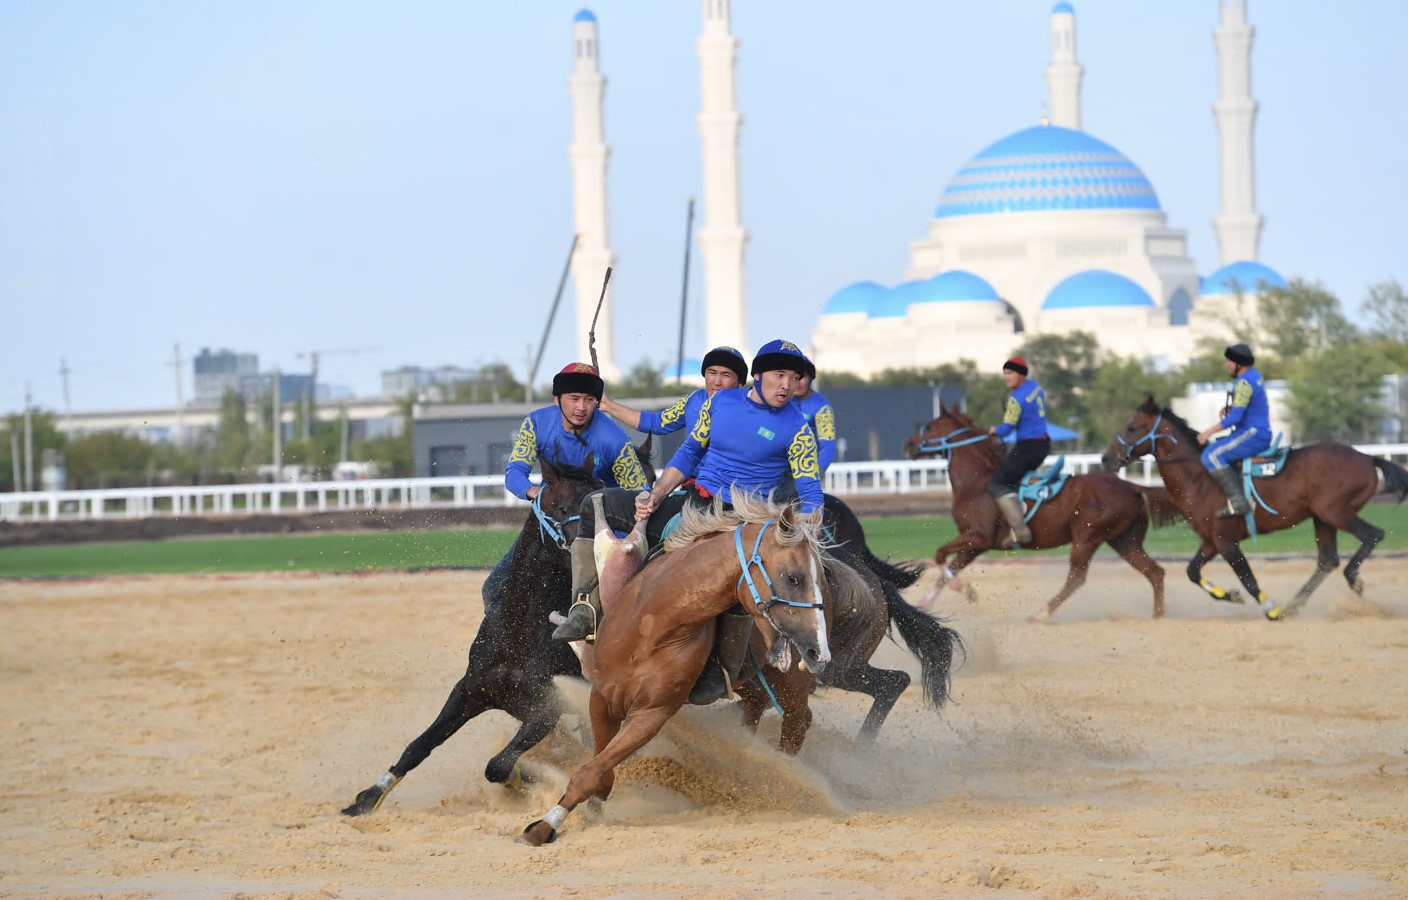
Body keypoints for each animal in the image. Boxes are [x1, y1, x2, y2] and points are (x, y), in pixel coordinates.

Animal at [520, 492, 833, 845]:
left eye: (810, 578)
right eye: (793, 577)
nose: (820, 652)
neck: (655, 624)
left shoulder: (652, 713)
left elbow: (591, 771)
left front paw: (544, 826)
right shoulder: (601, 698)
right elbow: (601, 764)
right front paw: (589, 810)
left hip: (792, 687)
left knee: (796, 724)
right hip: (752, 681)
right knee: (758, 707)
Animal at [901, 405, 1188, 622]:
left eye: (929, 427)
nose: (908, 445)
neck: (976, 482)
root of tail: (1132, 486)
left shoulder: (978, 537)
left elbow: (940, 556)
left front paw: (965, 591)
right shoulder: (974, 545)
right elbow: (947, 568)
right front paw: (927, 603)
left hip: (1087, 538)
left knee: (1076, 578)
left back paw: (1041, 613)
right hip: (1124, 541)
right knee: (1155, 572)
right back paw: (1158, 616)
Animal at [1098, 394, 1408, 619]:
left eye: (1132, 427)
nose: (1105, 458)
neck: (1200, 479)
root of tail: (1366, 458)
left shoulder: (1226, 541)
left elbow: (1247, 577)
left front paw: (1269, 607)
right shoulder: (1211, 541)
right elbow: (1192, 572)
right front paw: (1229, 595)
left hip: (1336, 511)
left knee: (1372, 536)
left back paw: (1352, 579)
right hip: (1323, 517)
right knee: (1327, 560)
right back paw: (1294, 605)